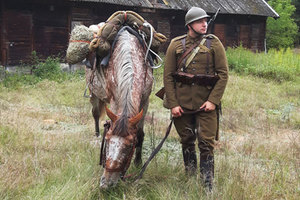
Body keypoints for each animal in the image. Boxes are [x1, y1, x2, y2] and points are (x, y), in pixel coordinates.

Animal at [85, 25, 154, 188]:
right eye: (108, 140)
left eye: (129, 146)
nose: (106, 184)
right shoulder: (114, 101)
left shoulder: (145, 101)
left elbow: (140, 133)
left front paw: (138, 162)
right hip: (94, 95)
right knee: (95, 114)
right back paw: (97, 134)